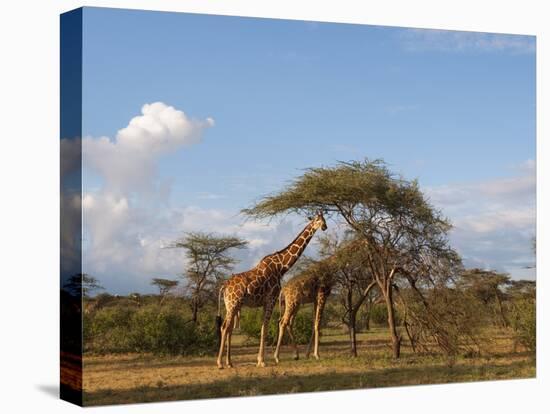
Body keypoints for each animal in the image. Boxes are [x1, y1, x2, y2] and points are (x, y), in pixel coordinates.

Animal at [216, 212, 328, 368]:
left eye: (324, 219)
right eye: (318, 220)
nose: (325, 227)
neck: (282, 267)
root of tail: (224, 286)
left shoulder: (266, 302)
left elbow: (263, 327)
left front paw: (260, 359)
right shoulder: (271, 299)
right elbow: (265, 328)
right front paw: (262, 361)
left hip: (231, 305)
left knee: (227, 327)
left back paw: (229, 362)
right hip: (233, 303)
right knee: (226, 327)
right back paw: (220, 363)